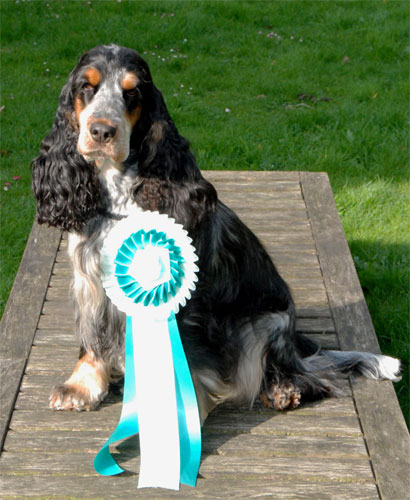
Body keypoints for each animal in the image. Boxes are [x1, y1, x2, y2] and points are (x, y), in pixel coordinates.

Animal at [32, 44, 400, 422]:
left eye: (132, 92)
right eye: (85, 87)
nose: (102, 131)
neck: (120, 197)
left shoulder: (184, 299)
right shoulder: (90, 282)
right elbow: (92, 337)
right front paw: (81, 386)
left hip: (266, 325)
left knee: (307, 372)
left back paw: (283, 389)